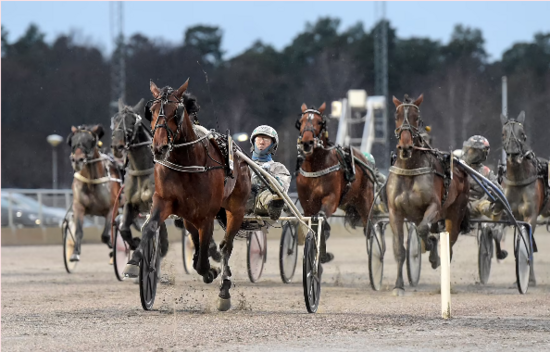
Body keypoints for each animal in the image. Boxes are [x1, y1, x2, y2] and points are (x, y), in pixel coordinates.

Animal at [66, 124, 123, 262]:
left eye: (90, 141)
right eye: (72, 141)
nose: (77, 160)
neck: (92, 182)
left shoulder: (111, 208)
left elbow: (106, 235)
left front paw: (113, 247)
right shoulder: (79, 206)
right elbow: (78, 231)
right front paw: (75, 253)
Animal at [123, 80, 250, 310]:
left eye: (176, 111)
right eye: (151, 110)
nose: (160, 147)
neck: (187, 162)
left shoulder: (207, 215)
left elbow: (204, 258)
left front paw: (210, 270)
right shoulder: (164, 201)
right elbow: (149, 228)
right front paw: (136, 262)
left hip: (236, 210)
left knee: (226, 247)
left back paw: (224, 290)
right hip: (189, 215)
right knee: (195, 235)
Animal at [298, 103, 376, 266]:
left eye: (319, 122)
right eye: (301, 121)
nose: (307, 142)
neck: (315, 167)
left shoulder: (331, 199)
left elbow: (321, 217)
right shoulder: (307, 206)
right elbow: (316, 223)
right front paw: (321, 255)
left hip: (365, 200)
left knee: (369, 226)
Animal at [386, 93, 472, 294]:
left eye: (416, 118)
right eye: (397, 116)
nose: (405, 147)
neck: (410, 169)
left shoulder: (434, 206)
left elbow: (423, 230)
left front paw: (433, 253)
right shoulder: (395, 212)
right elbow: (399, 249)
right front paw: (398, 286)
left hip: (454, 212)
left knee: (449, 244)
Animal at [502, 110, 548, 286]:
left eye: (522, 134)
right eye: (503, 133)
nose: (513, 154)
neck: (518, 180)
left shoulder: (531, 216)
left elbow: (529, 243)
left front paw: (530, 279)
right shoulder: (515, 217)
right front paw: (518, 279)